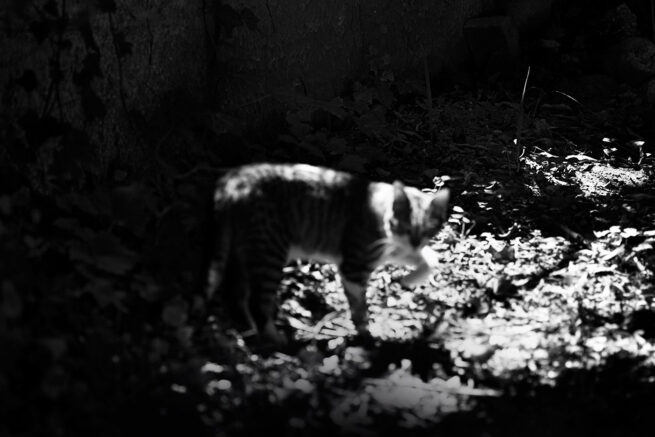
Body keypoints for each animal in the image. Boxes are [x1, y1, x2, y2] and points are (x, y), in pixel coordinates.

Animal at [205, 163, 450, 345]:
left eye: (427, 230)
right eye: (405, 228)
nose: (415, 242)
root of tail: (232, 181)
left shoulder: (394, 250)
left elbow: (431, 259)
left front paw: (410, 279)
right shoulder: (354, 266)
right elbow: (359, 308)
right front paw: (366, 337)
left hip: (248, 250)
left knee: (236, 295)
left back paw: (249, 335)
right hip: (269, 251)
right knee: (258, 301)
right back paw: (276, 339)